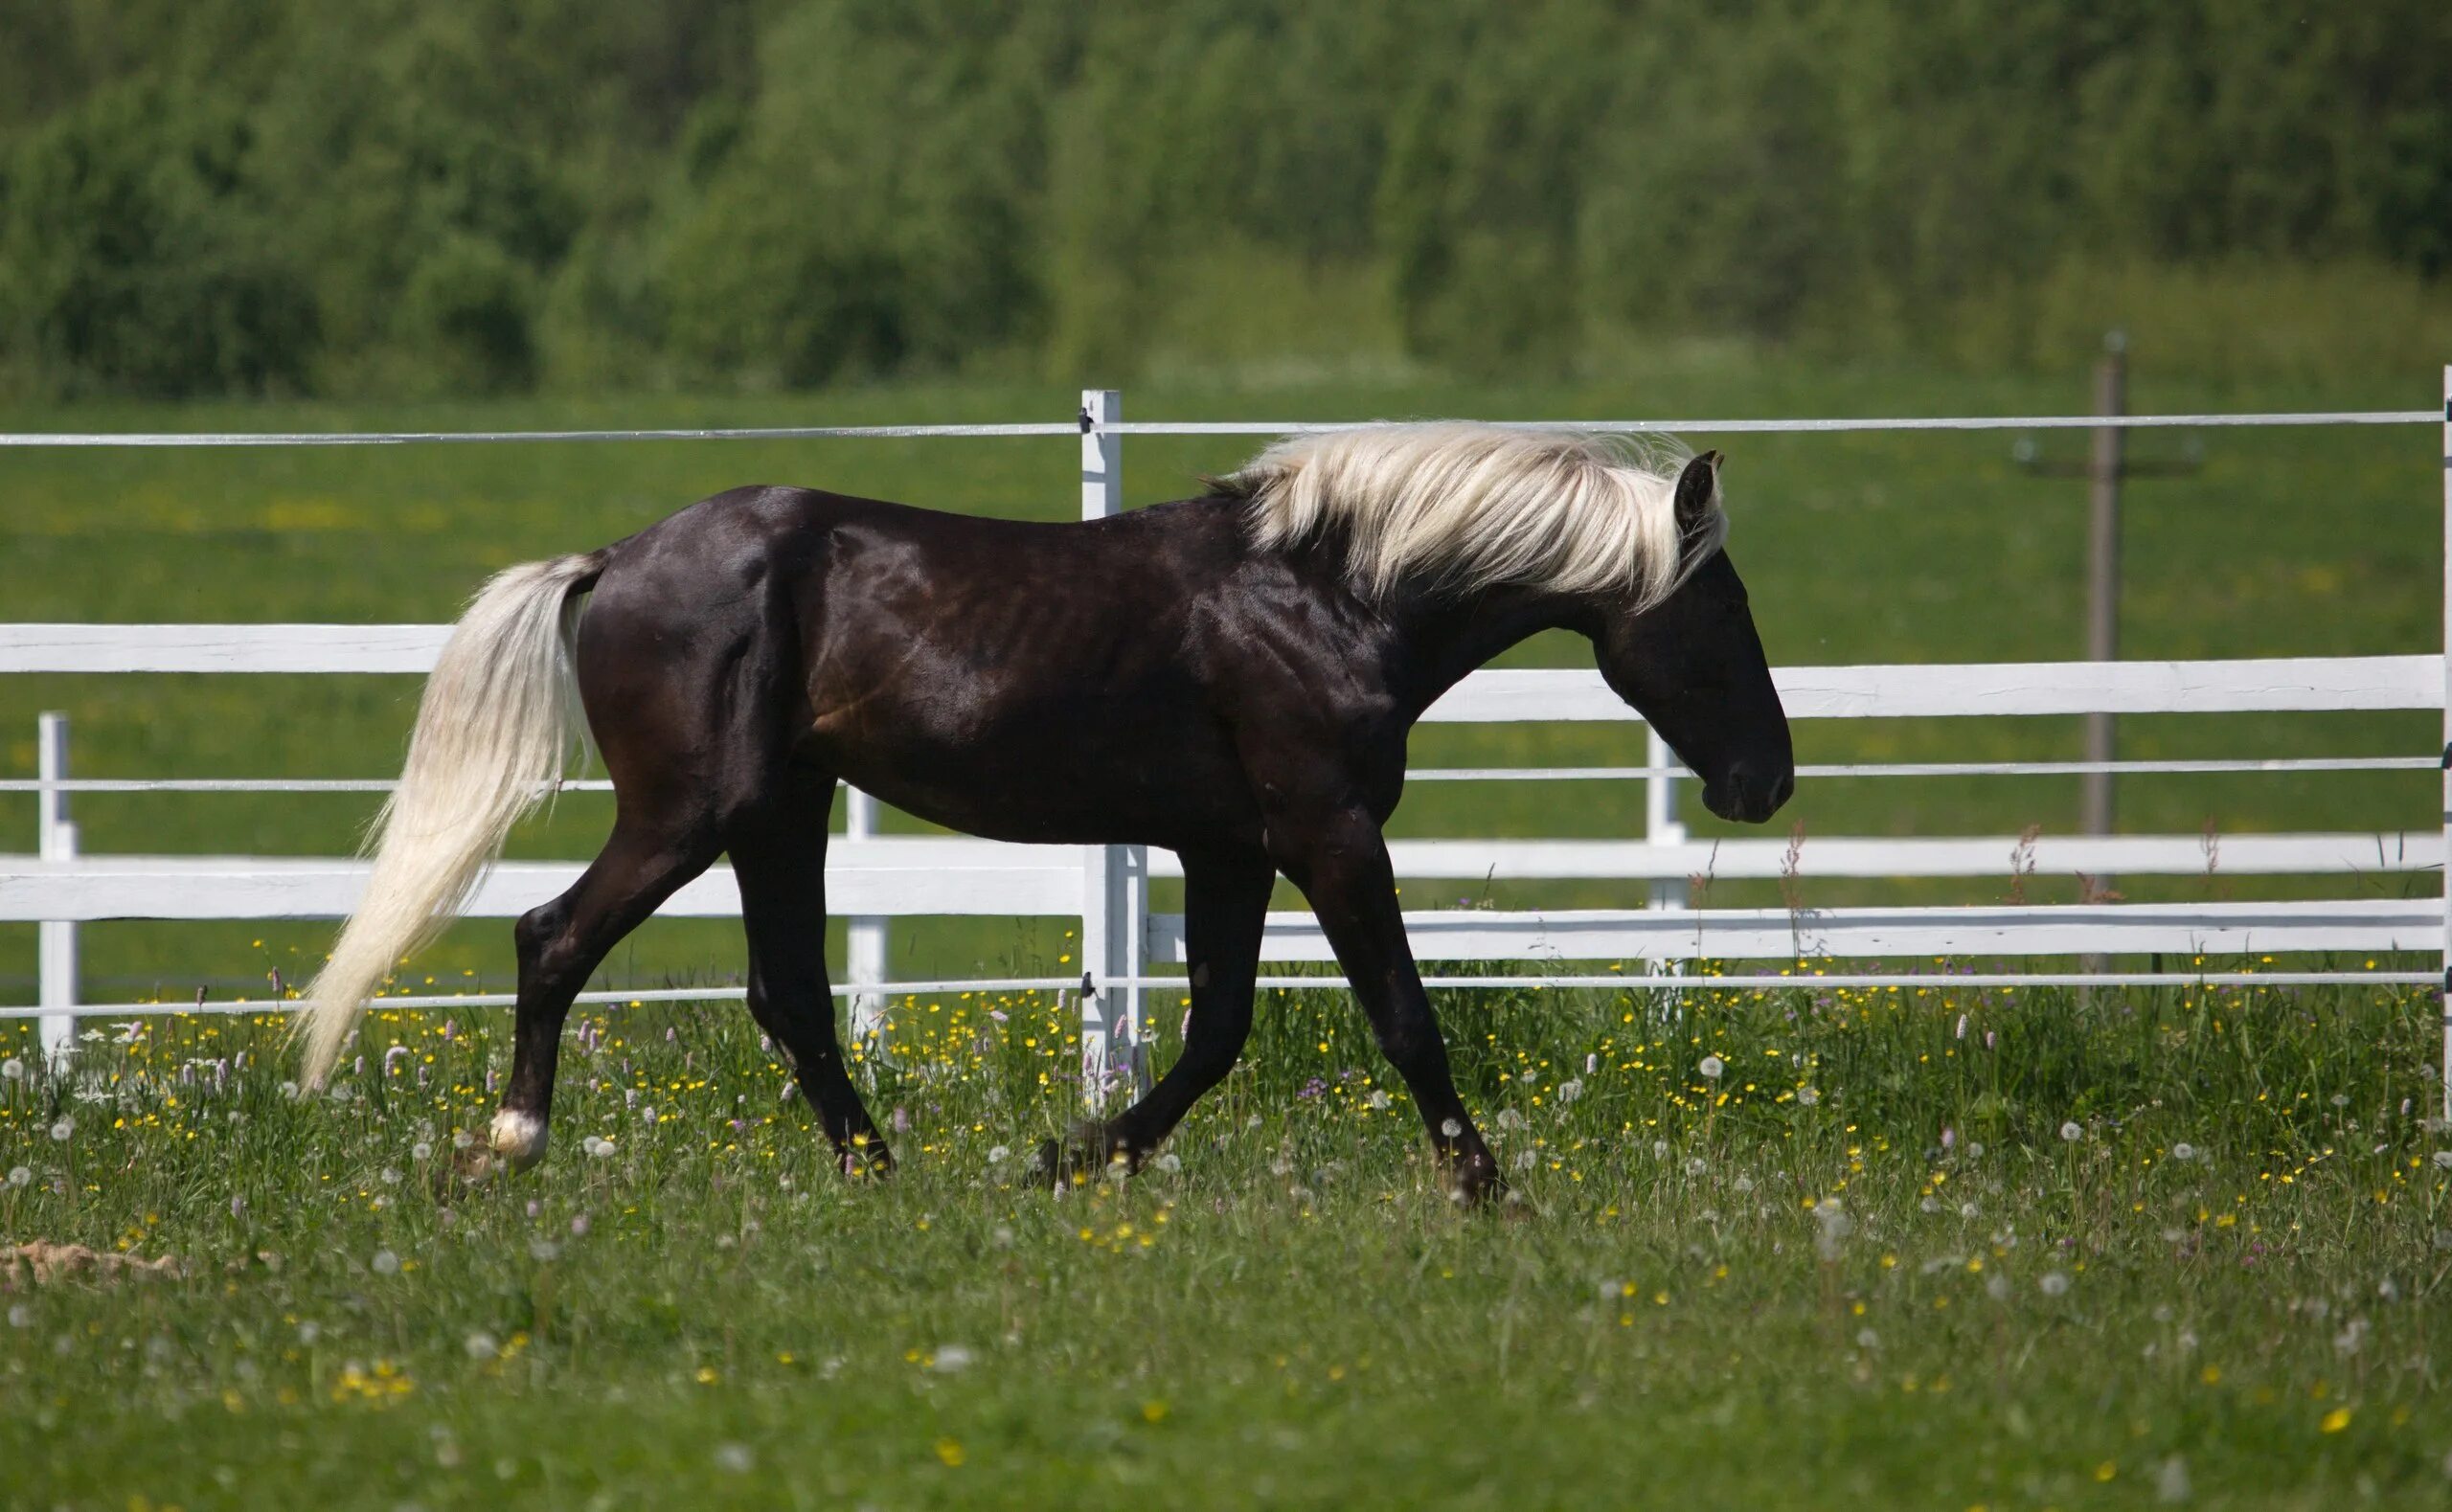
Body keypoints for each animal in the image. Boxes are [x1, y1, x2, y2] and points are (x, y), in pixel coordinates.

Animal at [296, 423, 1794, 1200]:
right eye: (1720, 602)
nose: (1765, 780)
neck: (1326, 596)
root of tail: (611, 562)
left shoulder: (1228, 847)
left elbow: (1216, 1032)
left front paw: (1067, 1158)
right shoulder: (1324, 832)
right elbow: (1402, 1015)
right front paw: (1484, 1184)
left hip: (779, 812)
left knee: (790, 994)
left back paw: (881, 1174)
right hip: (688, 813)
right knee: (553, 937)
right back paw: (514, 1141)